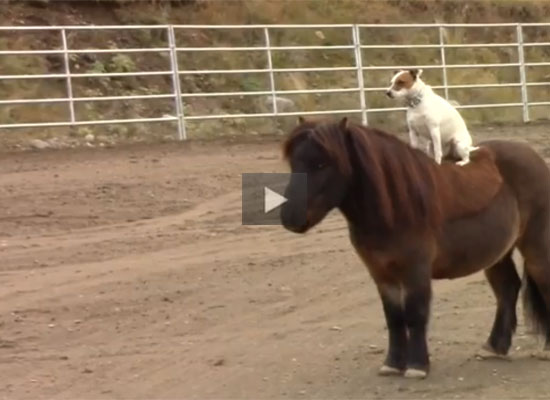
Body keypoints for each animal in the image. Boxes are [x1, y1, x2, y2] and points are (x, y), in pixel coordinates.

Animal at [282, 116, 550, 378]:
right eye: (294, 163)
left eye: (322, 164)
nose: (290, 217)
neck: (395, 206)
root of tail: (535, 158)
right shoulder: (381, 275)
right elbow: (393, 318)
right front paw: (392, 364)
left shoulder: (416, 271)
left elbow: (415, 314)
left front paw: (417, 366)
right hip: (496, 254)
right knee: (507, 289)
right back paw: (494, 347)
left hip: (536, 248)